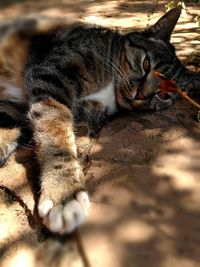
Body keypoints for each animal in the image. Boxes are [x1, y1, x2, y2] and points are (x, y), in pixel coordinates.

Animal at [0, 7, 199, 234]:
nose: (140, 95)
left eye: (164, 95)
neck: (111, 87)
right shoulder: (50, 74)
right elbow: (54, 127)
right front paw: (64, 193)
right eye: (146, 63)